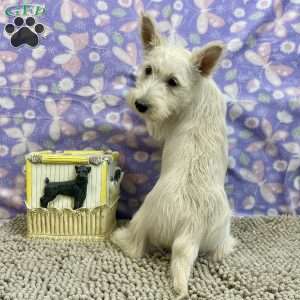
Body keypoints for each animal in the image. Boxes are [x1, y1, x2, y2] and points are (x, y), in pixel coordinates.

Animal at [111, 13, 236, 298]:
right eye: (148, 70)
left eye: (173, 82)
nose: (140, 105)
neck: (198, 92)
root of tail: (191, 230)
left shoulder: (162, 122)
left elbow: (156, 125)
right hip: (220, 230)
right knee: (219, 249)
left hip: (144, 216)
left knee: (135, 246)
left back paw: (119, 237)